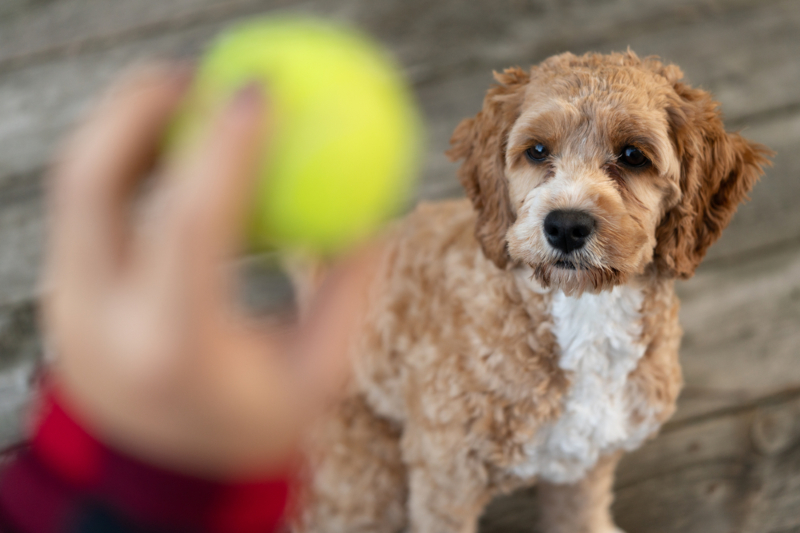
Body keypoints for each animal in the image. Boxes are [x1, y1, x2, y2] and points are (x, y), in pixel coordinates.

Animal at [296, 51, 772, 532]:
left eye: (633, 155)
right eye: (537, 150)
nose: (565, 225)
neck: (583, 313)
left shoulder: (585, 463)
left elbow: (579, 516)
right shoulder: (445, 478)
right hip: (366, 480)